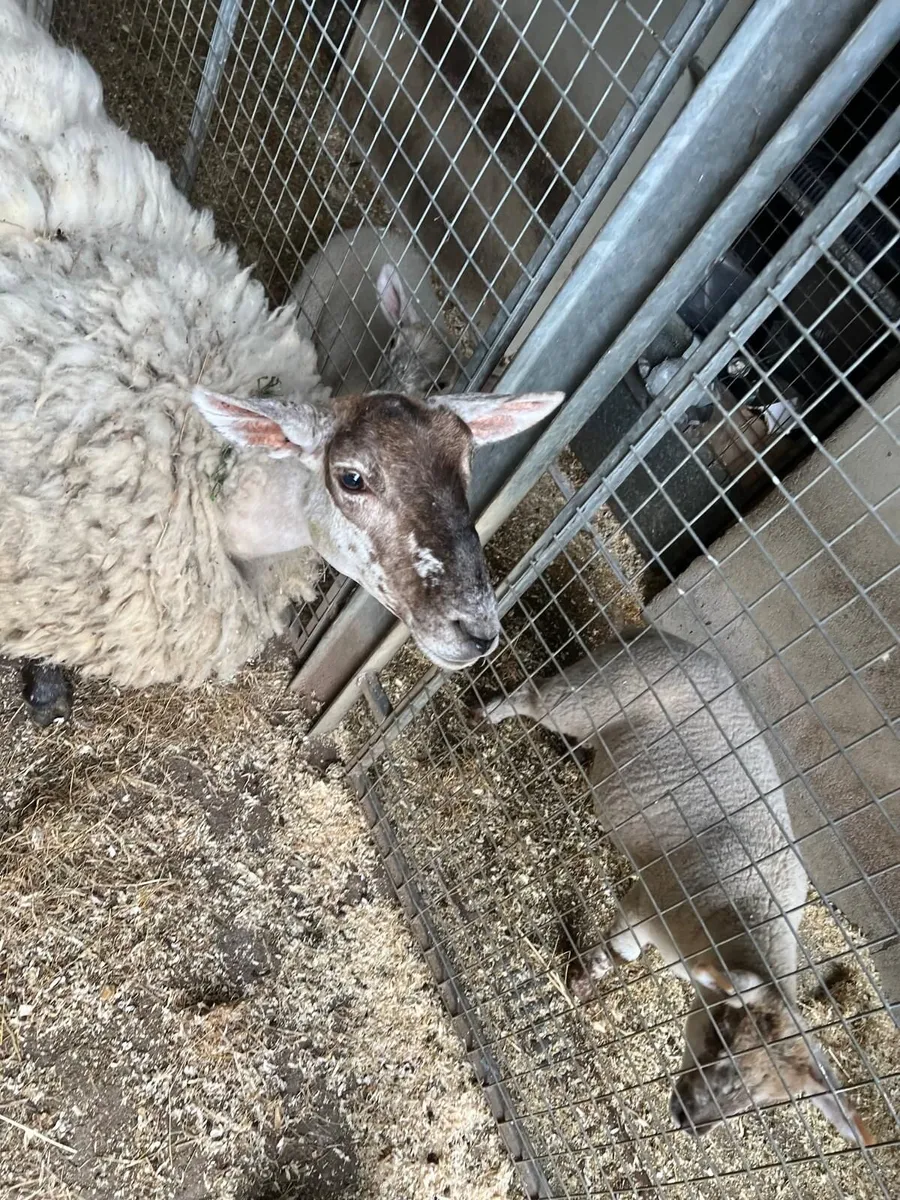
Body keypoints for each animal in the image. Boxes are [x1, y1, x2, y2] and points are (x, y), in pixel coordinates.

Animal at [474, 627, 874, 1147]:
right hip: (597, 691)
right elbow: (621, 951)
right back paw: (489, 711)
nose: (690, 1121)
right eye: (722, 1034)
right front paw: (584, 981)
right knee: (536, 696)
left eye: (770, 1100)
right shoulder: (650, 902)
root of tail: (668, 638)